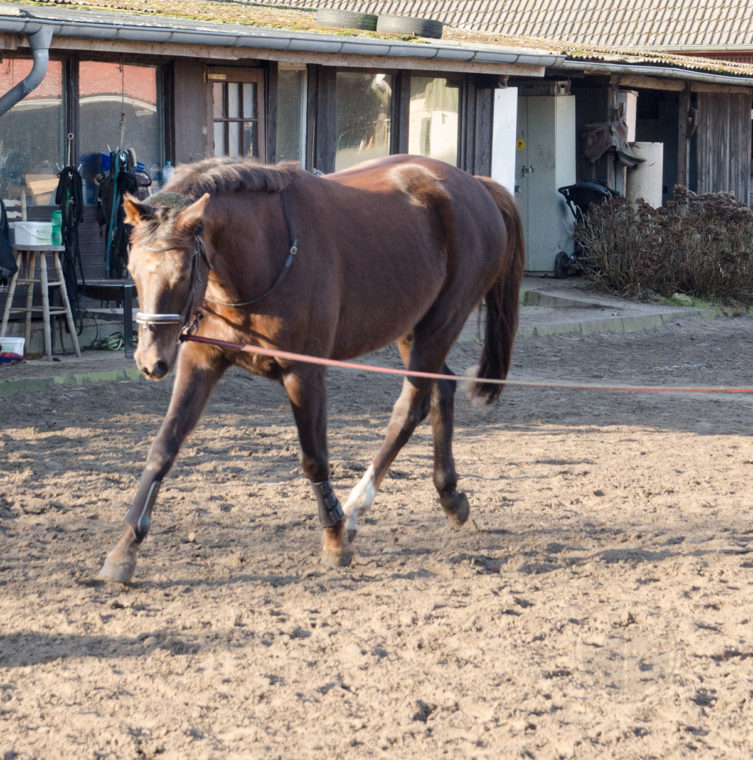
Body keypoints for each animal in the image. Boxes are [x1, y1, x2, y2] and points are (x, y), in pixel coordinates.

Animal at [98, 153, 524, 580]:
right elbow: (164, 447)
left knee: (409, 409)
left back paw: (355, 511)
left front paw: (335, 537)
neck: (264, 253)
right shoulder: (201, 362)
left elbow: (315, 458)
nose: (151, 361)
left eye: (184, 271)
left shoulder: (305, 374)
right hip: (410, 327)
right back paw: (450, 495)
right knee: (441, 389)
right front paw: (123, 551)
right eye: (132, 269)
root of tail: (475, 184)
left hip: (440, 323)